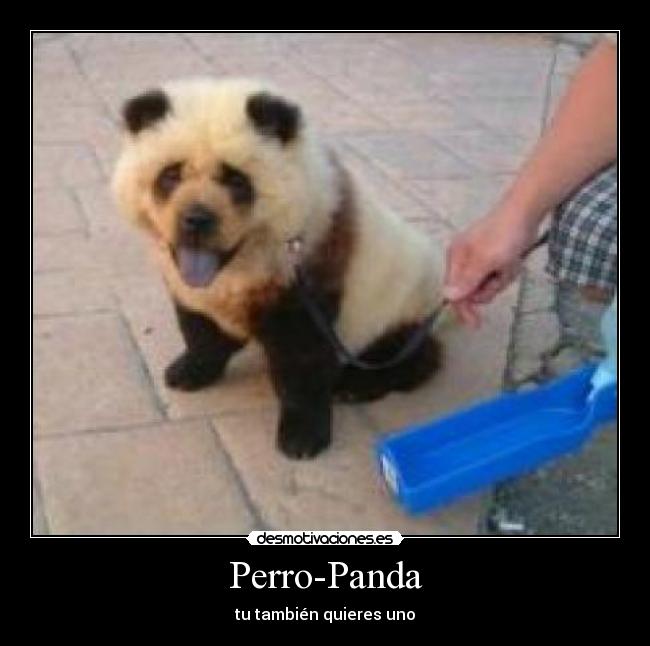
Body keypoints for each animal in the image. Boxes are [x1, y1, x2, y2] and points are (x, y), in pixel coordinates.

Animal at [111, 77, 444, 459]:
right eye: (170, 175)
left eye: (236, 180)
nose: (196, 220)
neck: (237, 269)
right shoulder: (194, 291)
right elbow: (199, 328)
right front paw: (191, 369)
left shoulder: (307, 277)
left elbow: (302, 359)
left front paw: (302, 436)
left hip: (398, 307)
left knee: (408, 355)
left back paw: (358, 384)